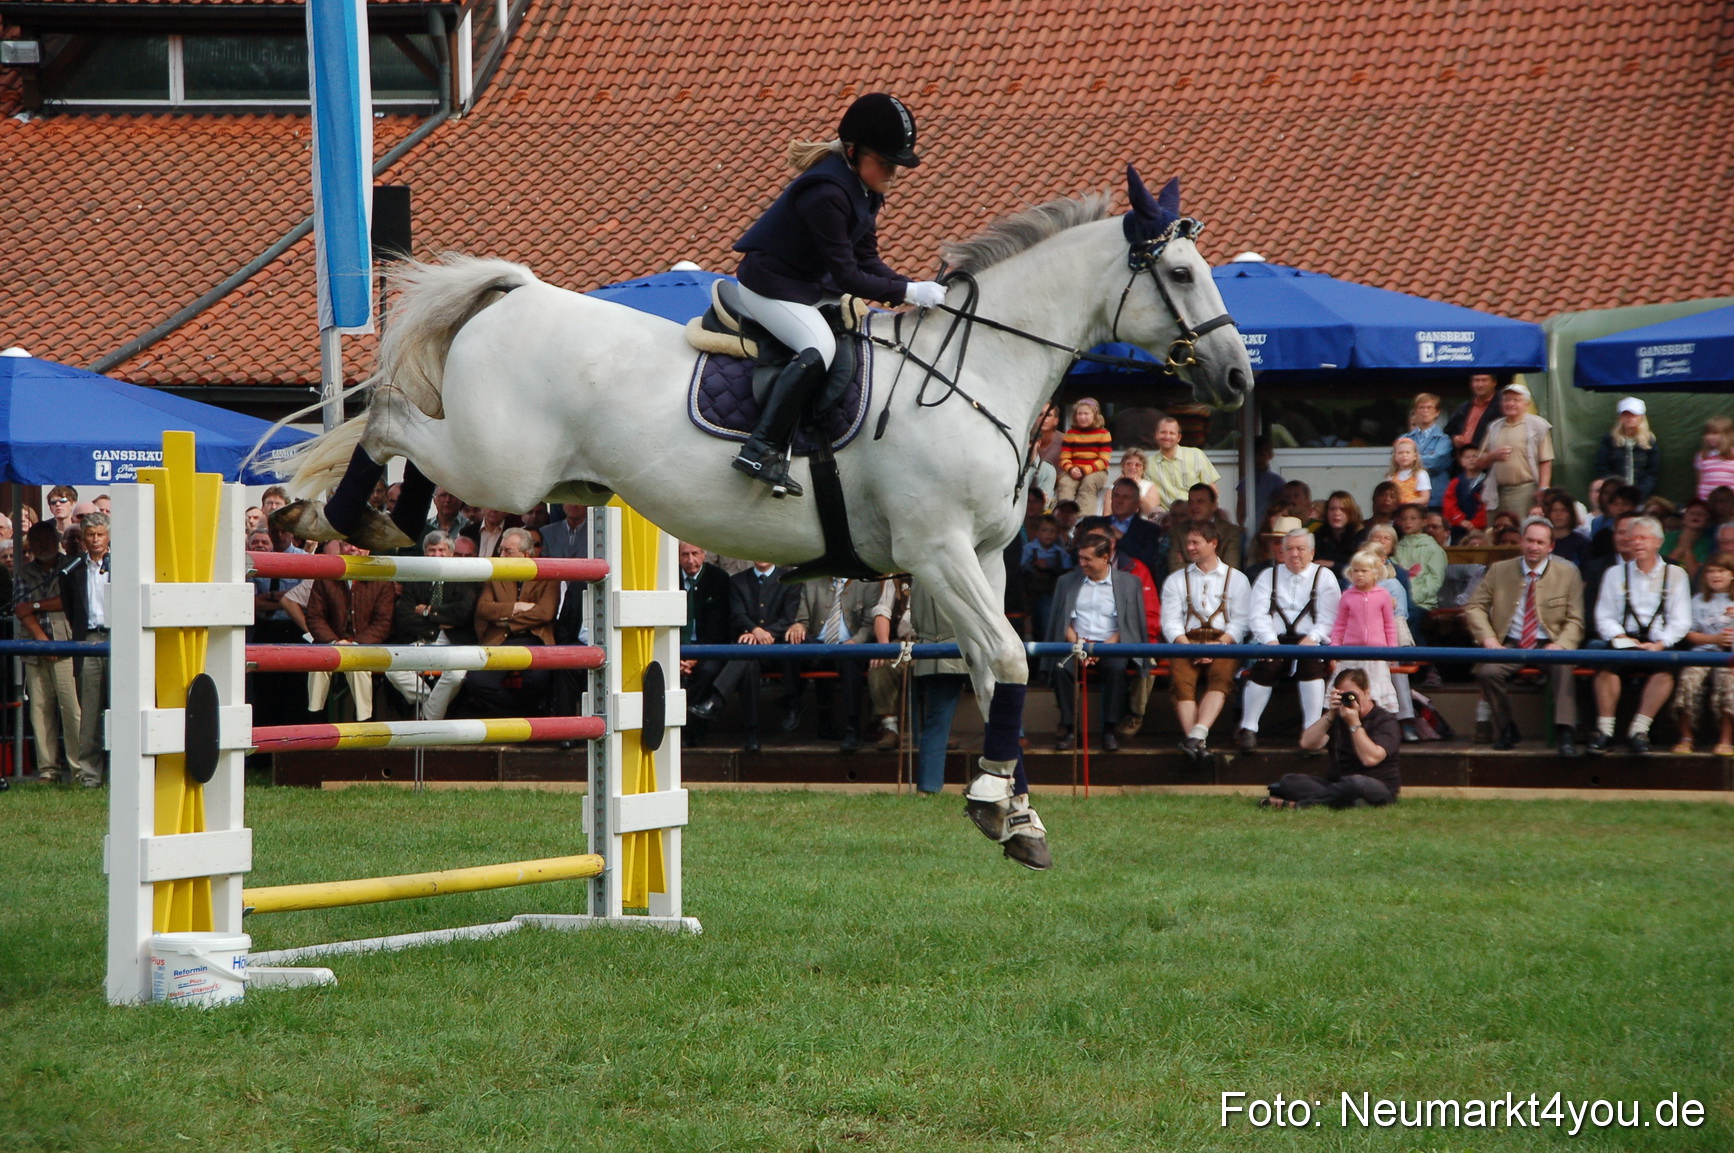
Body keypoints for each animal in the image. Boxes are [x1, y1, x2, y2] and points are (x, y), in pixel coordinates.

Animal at [273, 165, 1253, 870]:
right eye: (1179, 273)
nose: (1238, 377)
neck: (974, 372)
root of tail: (518, 292)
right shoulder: (936, 550)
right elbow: (1009, 657)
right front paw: (995, 805)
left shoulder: (984, 558)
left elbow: (991, 669)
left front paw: (1012, 815)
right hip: (497, 464)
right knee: (390, 420)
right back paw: (349, 520)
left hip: (532, 477)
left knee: (400, 430)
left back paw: (377, 528)